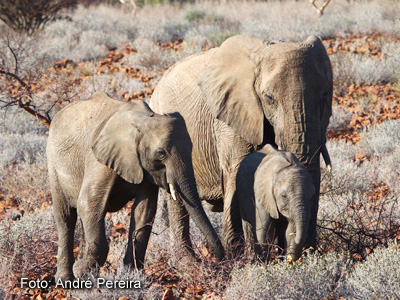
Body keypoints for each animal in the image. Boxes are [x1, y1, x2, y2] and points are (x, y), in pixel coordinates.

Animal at [47, 92, 223, 282]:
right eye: (161, 154)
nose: (220, 259)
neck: (144, 119)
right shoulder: (99, 158)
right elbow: (89, 203)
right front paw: (79, 270)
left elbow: (144, 210)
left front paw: (131, 276)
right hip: (53, 164)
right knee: (66, 218)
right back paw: (66, 279)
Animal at [149, 35, 332, 254]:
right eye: (269, 98)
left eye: (325, 95)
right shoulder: (231, 115)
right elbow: (237, 171)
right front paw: (237, 256)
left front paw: (307, 254)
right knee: (175, 200)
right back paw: (187, 261)